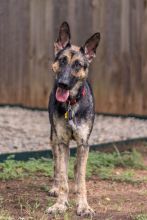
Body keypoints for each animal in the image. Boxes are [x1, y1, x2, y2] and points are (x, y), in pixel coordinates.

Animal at [47, 21, 100, 217]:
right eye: (62, 60)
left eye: (78, 65)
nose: (62, 83)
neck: (71, 103)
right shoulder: (62, 141)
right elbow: (63, 176)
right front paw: (60, 205)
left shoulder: (83, 143)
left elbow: (81, 178)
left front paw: (83, 206)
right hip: (54, 139)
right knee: (57, 165)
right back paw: (55, 188)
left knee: (77, 169)